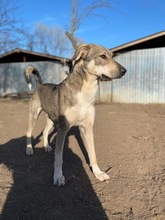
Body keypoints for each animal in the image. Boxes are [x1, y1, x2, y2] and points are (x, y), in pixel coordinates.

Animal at [24, 43, 126, 186]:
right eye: (102, 56)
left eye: (112, 56)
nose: (124, 71)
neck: (85, 92)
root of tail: (40, 85)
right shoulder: (62, 129)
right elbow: (59, 157)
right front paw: (58, 176)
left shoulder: (87, 128)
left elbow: (93, 154)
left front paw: (98, 173)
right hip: (34, 115)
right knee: (28, 132)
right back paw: (29, 149)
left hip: (52, 120)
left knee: (44, 131)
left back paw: (46, 146)